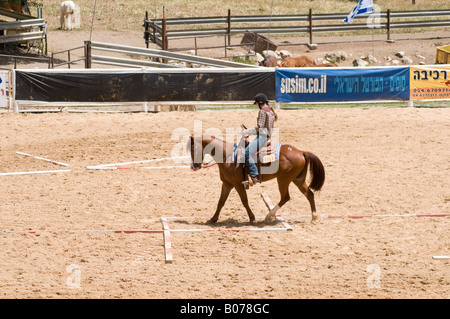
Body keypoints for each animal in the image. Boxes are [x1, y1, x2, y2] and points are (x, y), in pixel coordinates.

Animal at [188, 136, 326, 224]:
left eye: (193, 149)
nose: (194, 167)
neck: (227, 156)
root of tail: (301, 152)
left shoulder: (237, 184)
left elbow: (244, 201)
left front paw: (252, 218)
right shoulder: (227, 184)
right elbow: (221, 202)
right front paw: (213, 219)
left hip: (283, 179)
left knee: (285, 197)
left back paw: (268, 216)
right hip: (297, 180)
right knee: (309, 194)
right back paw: (314, 218)